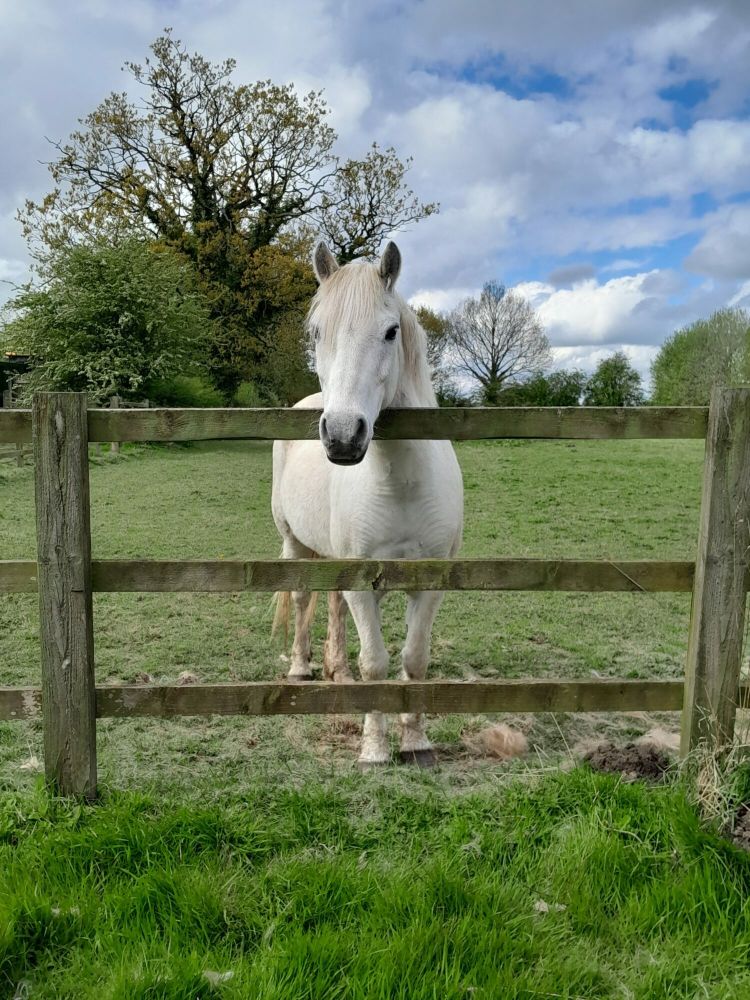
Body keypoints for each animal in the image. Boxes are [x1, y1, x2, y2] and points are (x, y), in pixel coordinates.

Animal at [272, 240, 464, 767]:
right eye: (317, 332)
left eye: (390, 331)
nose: (342, 435)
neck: (401, 485)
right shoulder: (363, 581)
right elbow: (376, 663)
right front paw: (375, 749)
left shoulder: (430, 583)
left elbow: (414, 660)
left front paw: (416, 743)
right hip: (294, 544)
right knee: (303, 599)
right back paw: (301, 669)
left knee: (334, 607)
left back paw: (337, 672)